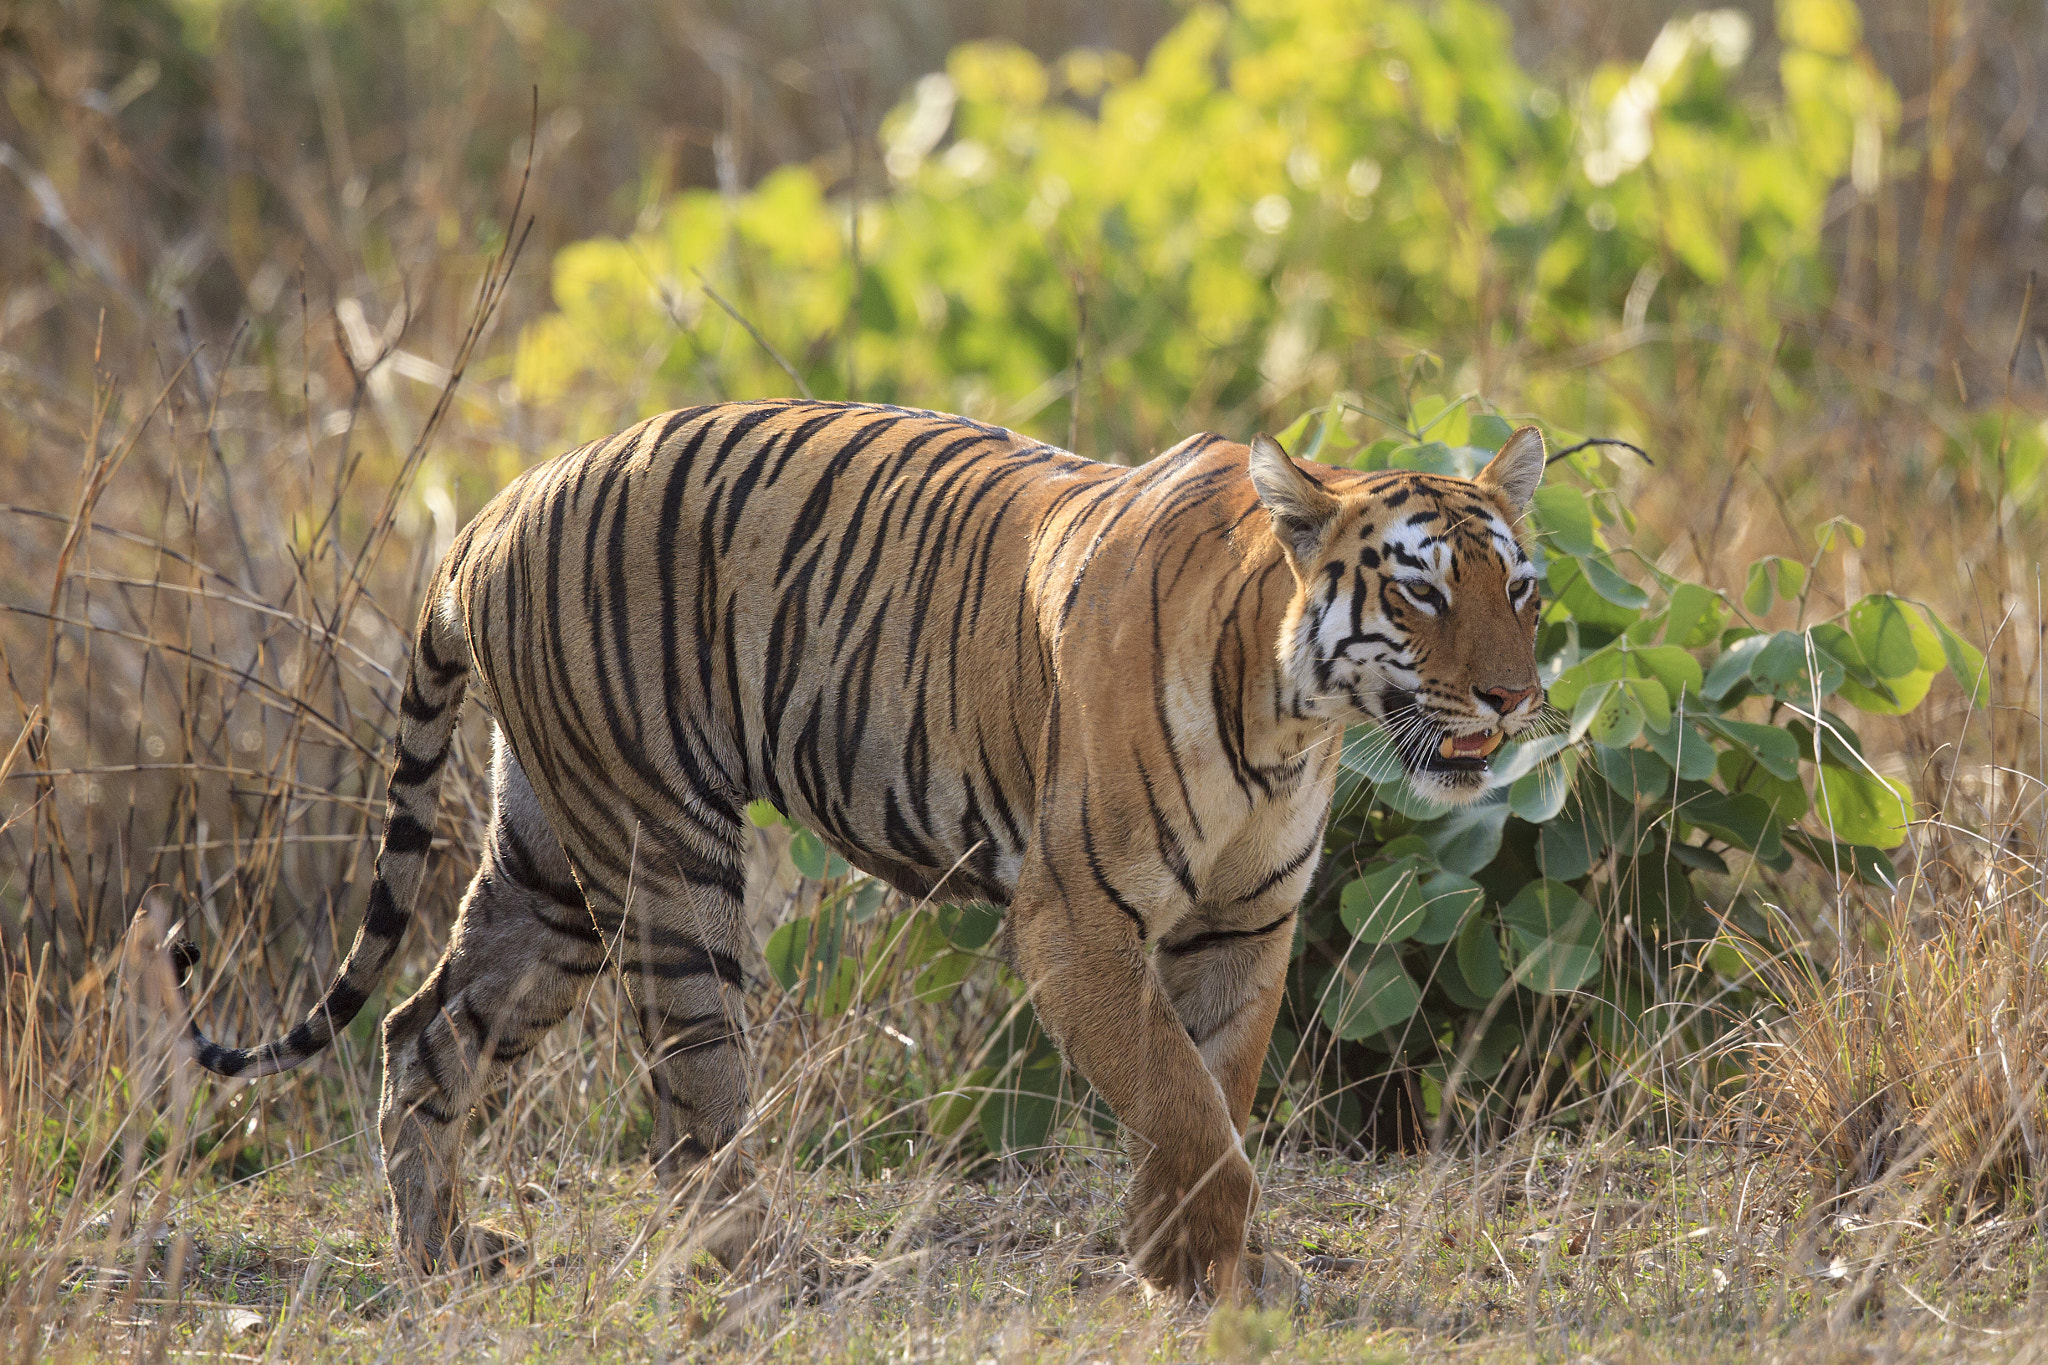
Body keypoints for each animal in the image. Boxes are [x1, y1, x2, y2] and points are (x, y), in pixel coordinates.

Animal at [188, 397, 1548, 1301]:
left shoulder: (1245, 921)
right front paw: (1207, 1263)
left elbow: (1210, 1087)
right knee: (692, 1096)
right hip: (662, 850)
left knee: (425, 1029)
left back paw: (442, 1256)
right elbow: (1175, 1093)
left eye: (1521, 591)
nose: (1513, 698)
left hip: (548, 866)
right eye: (1420, 593)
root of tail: (495, 508)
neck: (1287, 718)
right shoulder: (1074, 917)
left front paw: (1202, 1264)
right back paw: (771, 1265)